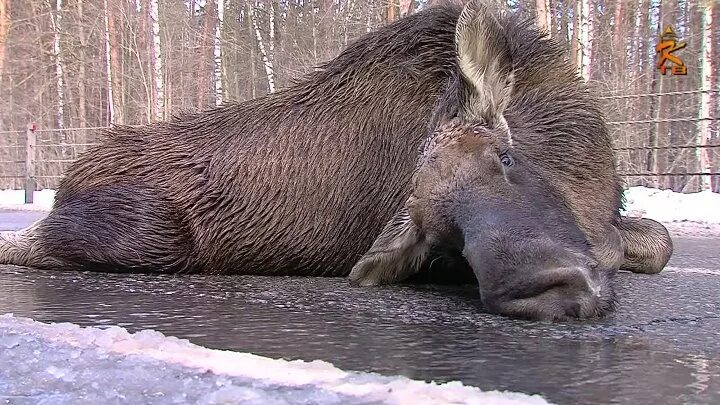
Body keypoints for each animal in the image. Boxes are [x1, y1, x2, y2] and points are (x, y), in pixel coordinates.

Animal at [1, 0, 676, 322]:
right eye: (443, 246)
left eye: (506, 156)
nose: (544, 286)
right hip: (147, 240)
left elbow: (658, 241)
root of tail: (58, 193)